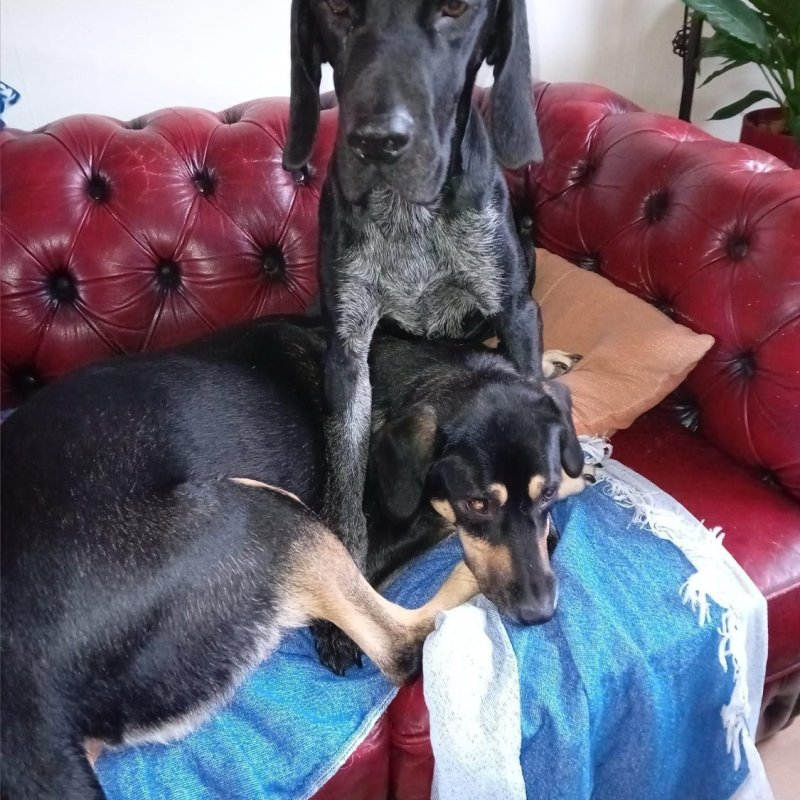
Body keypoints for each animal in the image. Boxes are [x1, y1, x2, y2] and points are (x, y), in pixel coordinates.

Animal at [1, 320, 585, 799]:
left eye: (545, 493)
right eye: (476, 505)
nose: (539, 613)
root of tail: (28, 703)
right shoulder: (367, 535)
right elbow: (432, 523)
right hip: (270, 513)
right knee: (401, 644)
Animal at [283, 0, 549, 669]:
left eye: (456, 10)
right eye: (336, 11)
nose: (377, 142)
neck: (411, 218)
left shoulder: (516, 311)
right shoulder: (347, 348)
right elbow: (345, 483)